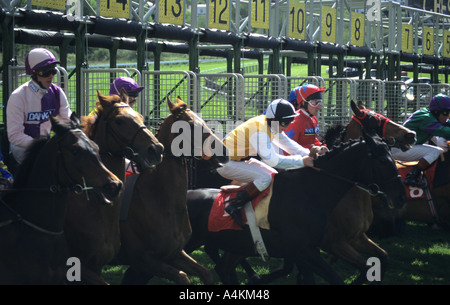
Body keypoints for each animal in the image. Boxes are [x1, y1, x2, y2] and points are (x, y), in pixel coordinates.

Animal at [117, 96, 229, 284]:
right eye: (190, 125)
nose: (224, 152)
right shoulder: (145, 259)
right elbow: (182, 277)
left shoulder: (175, 253)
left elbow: (206, 273)